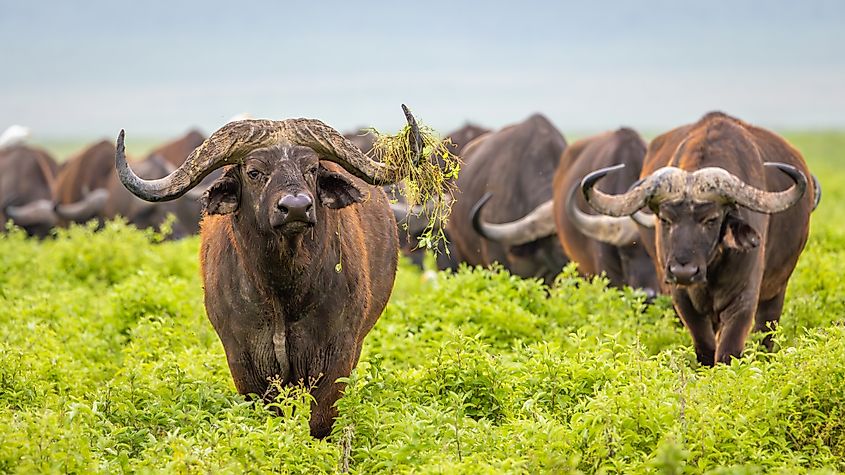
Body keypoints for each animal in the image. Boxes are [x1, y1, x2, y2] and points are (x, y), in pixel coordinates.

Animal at [115, 106, 425, 438]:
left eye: (311, 168)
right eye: (254, 172)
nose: (296, 207)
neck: (282, 290)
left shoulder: (338, 351)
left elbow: (320, 420)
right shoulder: (244, 359)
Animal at [582, 112, 816, 365]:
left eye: (711, 219)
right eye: (665, 219)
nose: (683, 271)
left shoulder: (744, 297)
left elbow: (729, 351)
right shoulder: (682, 299)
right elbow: (704, 346)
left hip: (777, 288)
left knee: (767, 331)